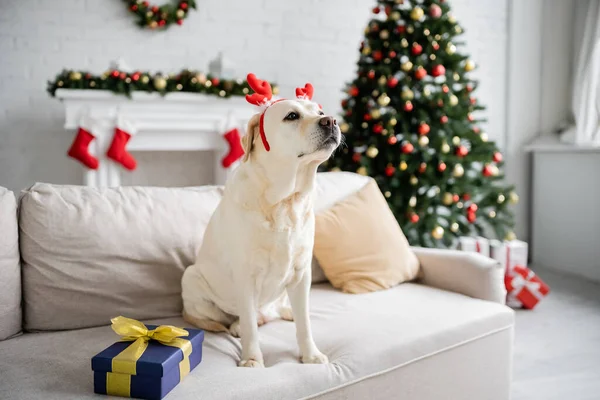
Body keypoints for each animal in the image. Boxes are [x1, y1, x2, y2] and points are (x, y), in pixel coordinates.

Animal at [183, 76, 340, 368]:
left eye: (320, 112)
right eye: (292, 116)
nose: (332, 121)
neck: (285, 201)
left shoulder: (302, 273)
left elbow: (305, 324)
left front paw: (311, 355)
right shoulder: (246, 276)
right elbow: (250, 327)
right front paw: (252, 359)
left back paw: (284, 311)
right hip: (191, 277)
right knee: (231, 319)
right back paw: (236, 326)